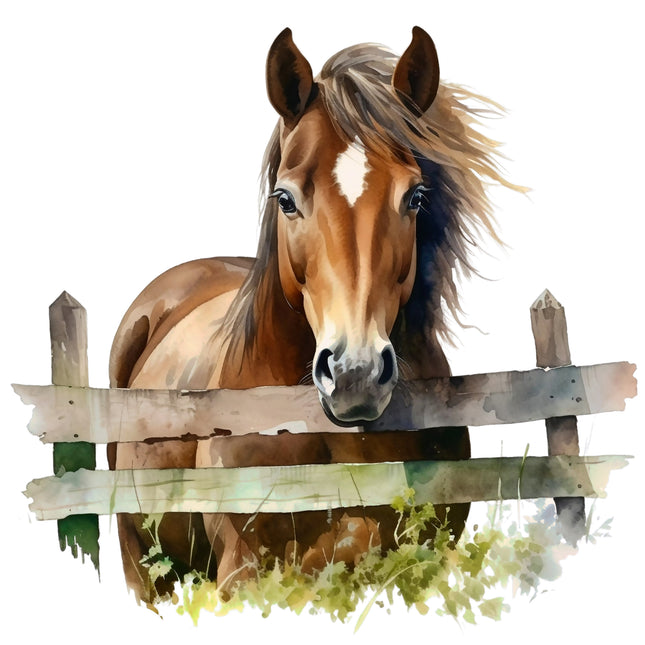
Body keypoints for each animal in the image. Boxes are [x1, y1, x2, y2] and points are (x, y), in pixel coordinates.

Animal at [108, 26, 518, 605]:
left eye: (416, 196)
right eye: (285, 198)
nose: (354, 374)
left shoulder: (424, 565)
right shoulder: (242, 573)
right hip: (144, 567)